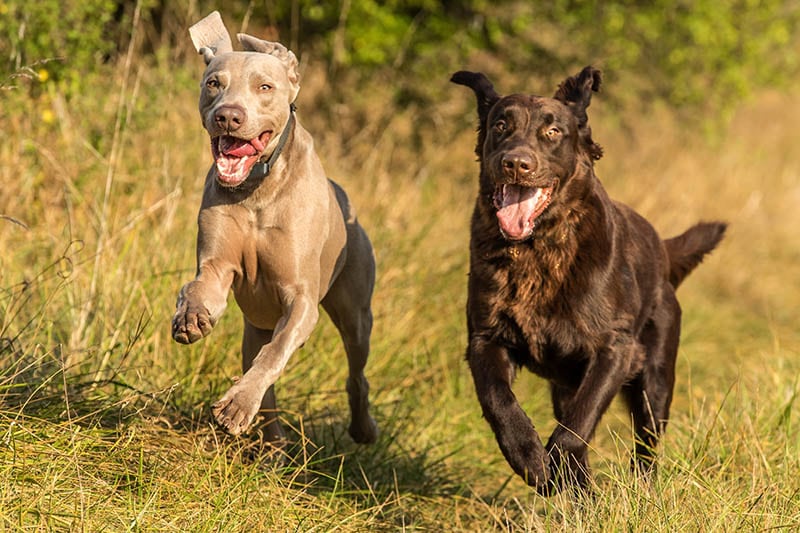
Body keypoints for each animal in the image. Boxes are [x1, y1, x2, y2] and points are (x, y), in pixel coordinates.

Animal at [170, 12, 376, 444]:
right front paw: (192, 316)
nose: (228, 116)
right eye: (214, 83)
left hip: (355, 311)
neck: (256, 189)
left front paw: (237, 404)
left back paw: (362, 428)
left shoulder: (300, 300)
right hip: (255, 327)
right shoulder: (216, 266)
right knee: (267, 392)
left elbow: (277, 352)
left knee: (357, 373)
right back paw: (273, 444)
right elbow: (198, 287)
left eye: (265, 87)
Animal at [454, 67, 728, 494]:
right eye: (500, 125)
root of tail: (662, 250)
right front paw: (530, 459)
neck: (537, 251)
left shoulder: (614, 348)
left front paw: (552, 465)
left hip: (655, 377)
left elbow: (577, 426)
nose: (516, 164)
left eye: (553, 132)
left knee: (645, 444)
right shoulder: (485, 339)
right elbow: (499, 402)